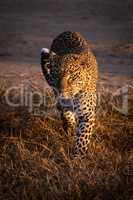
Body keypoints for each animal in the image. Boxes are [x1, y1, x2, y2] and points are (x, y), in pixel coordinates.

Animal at [40, 30, 97, 158]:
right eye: (56, 74)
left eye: (72, 76)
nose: (61, 90)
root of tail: (67, 31)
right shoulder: (62, 102)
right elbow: (66, 114)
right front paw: (70, 125)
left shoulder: (87, 114)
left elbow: (82, 138)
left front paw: (77, 157)